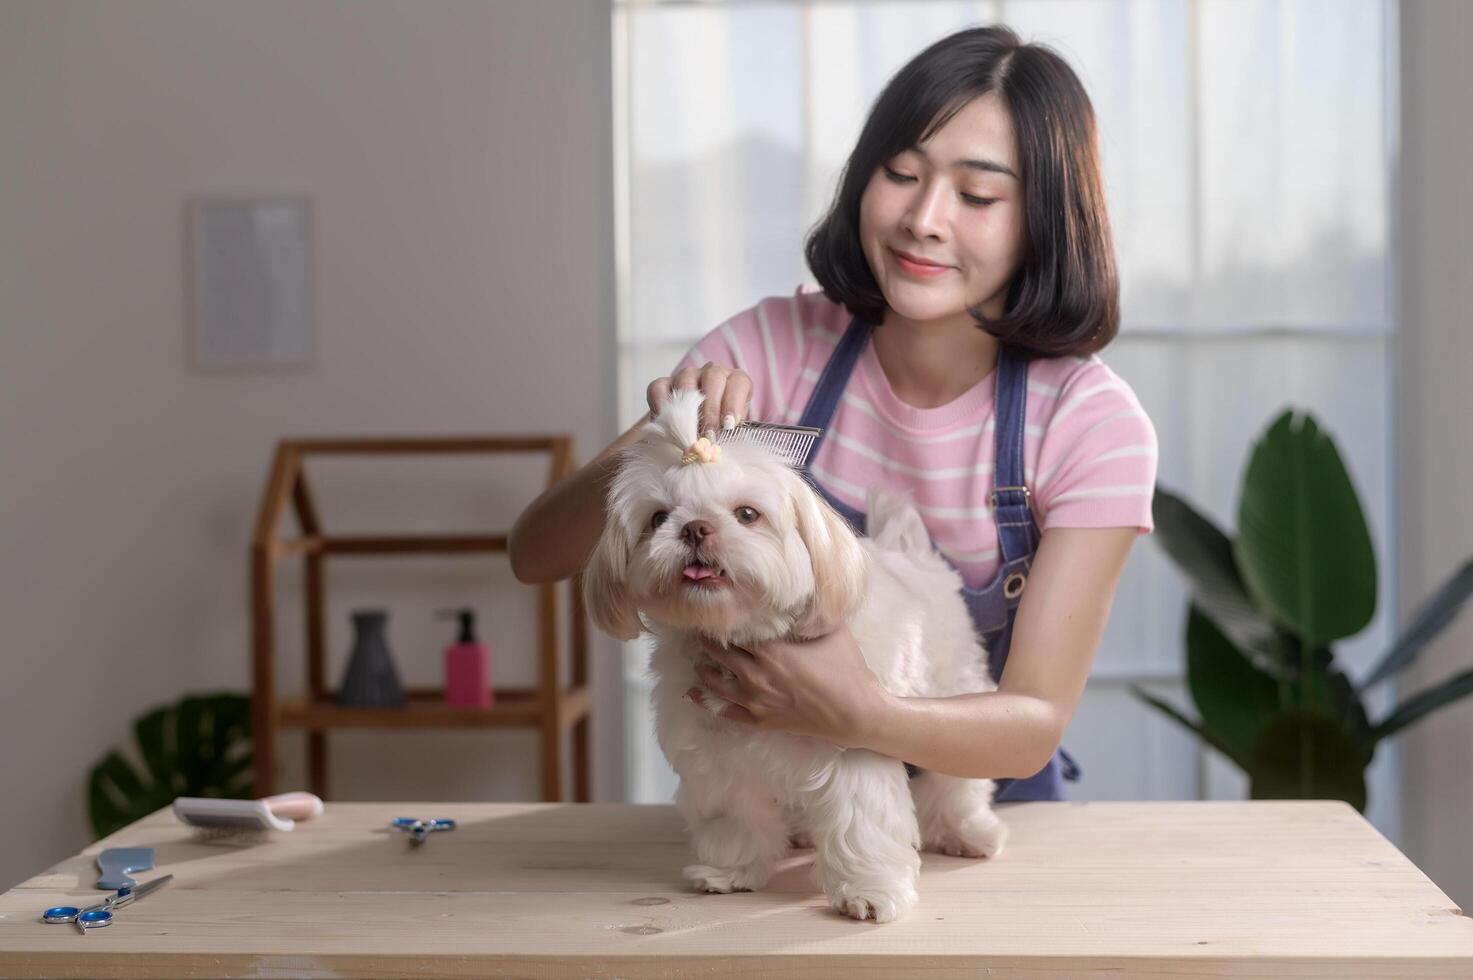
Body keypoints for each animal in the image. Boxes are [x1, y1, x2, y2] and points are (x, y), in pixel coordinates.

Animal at [580, 389, 1007, 919]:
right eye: (658, 518)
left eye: (747, 514)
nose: (695, 529)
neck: (743, 634)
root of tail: (911, 553)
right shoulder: (714, 756)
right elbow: (732, 816)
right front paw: (730, 870)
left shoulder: (856, 740)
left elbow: (861, 822)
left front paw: (869, 891)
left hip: (950, 688)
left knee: (956, 779)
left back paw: (966, 831)